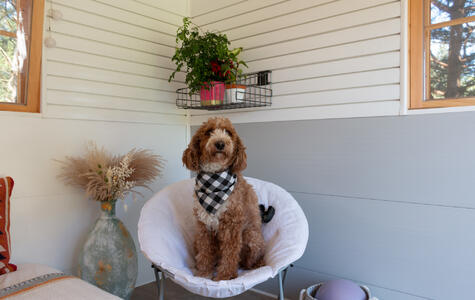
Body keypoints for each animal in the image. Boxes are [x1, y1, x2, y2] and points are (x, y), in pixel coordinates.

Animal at [182, 117, 266, 282]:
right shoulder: (204, 226)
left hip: (250, 236)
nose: (220, 143)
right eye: (209, 132)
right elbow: (205, 251)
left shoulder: (232, 225)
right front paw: (203, 273)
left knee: (253, 261)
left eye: (228, 132)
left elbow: (230, 254)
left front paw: (225, 276)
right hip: (196, 239)